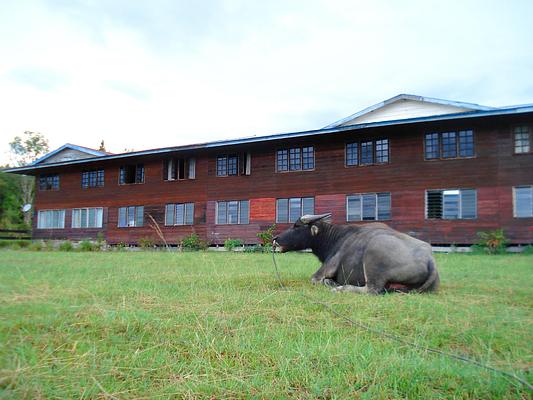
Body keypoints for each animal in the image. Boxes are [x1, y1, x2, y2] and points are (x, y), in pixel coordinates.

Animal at [272, 216, 438, 294]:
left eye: (296, 226)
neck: (336, 237)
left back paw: (339, 288)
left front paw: (331, 283)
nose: (275, 239)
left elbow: (315, 279)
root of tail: (429, 259)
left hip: (373, 255)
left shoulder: (327, 267)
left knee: (372, 290)